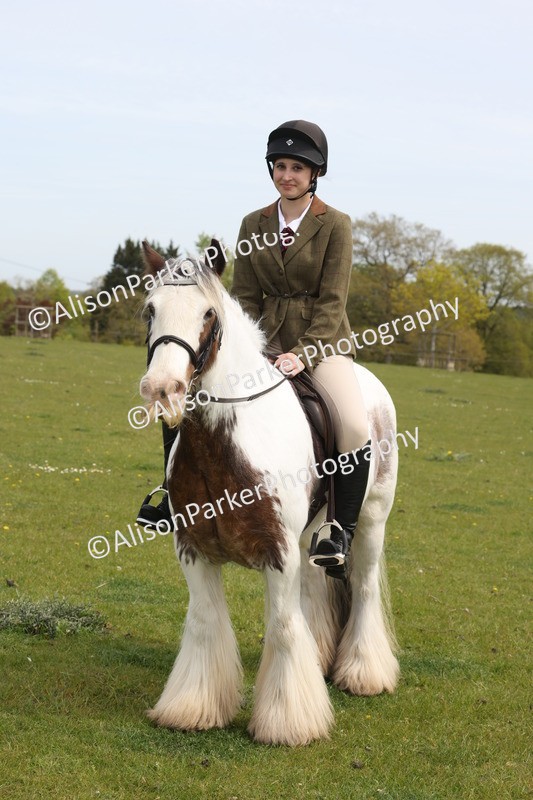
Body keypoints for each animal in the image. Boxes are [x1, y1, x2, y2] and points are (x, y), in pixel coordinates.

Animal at [137, 240, 399, 746]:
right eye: (150, 310)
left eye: (208, 314)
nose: (163, 390)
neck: (223, 445)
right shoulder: (193, 550)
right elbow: (205, 622)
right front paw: (193, 707)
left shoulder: (278, 553)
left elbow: (282, 625)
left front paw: (288, 721)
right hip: (312, 533)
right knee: (316, 587)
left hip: (372, 518)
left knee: (363, 585)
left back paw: (363, 673)